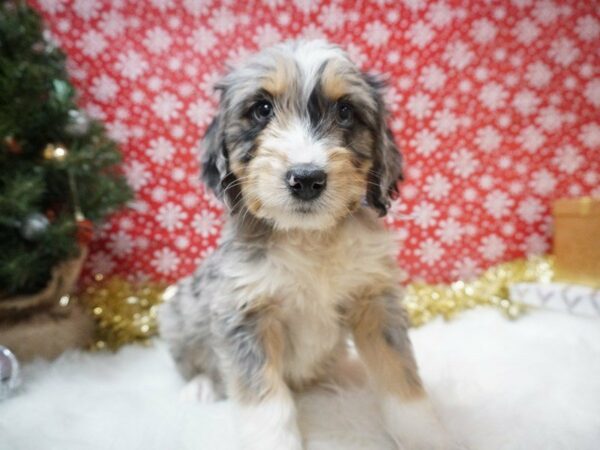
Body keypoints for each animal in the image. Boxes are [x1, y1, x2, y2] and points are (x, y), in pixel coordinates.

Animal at [159, 39, 450, 450]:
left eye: (345, 111)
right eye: (262, 109)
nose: (307, 178)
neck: (310, 238)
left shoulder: (375, 301)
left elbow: (401, 379)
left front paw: (428, 437)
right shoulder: (245, 315)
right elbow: (266, 404)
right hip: (177, 312)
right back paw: (199, 387)